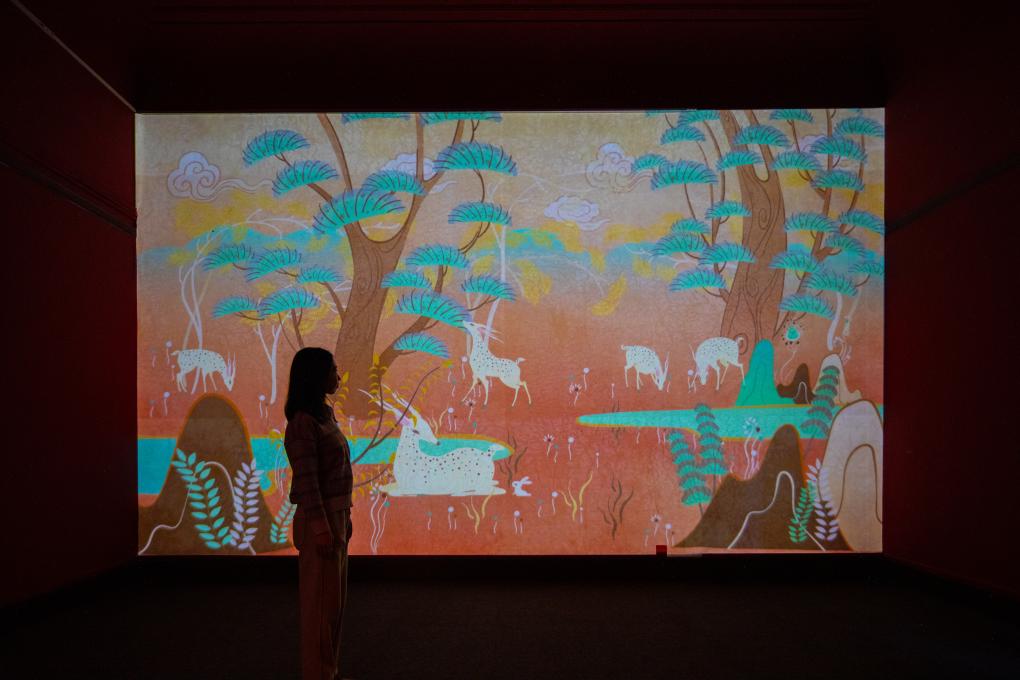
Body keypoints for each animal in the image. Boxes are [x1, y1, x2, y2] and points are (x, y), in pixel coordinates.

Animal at [364, 389, 506, 497]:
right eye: (416, 430)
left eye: (427, 424)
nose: (437, 442)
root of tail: (488, 454)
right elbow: (384, 487)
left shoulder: (412, 487)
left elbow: (394, 492)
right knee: (495, 485)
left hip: (477, 482)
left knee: (494, 490)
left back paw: (457, 493)